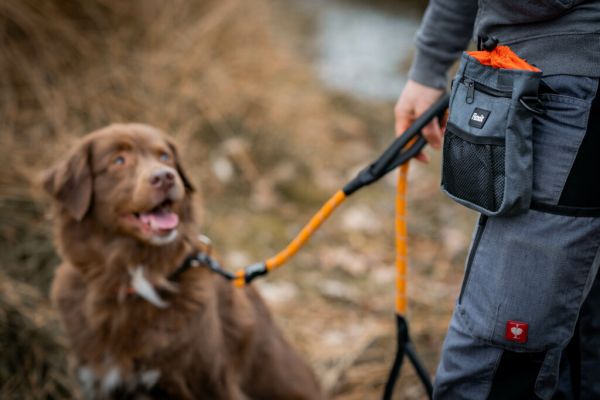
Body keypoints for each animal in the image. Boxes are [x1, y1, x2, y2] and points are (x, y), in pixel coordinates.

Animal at [43, 123, 324, 398]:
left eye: (165, 156)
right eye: (118, 160)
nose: (165, 177)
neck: (138, 274)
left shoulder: (209, 383)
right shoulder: (98, 379)